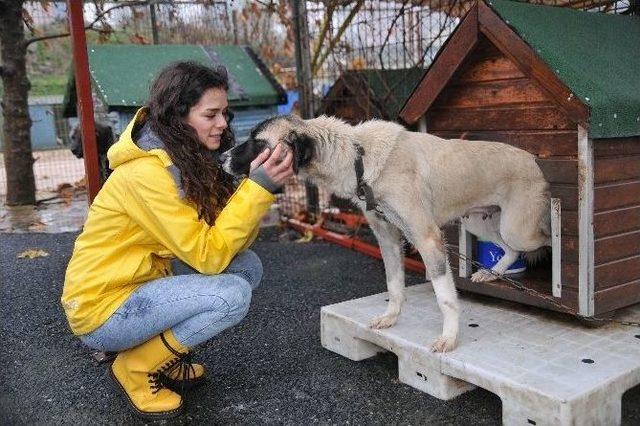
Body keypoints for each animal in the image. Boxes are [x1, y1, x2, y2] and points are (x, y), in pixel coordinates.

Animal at [219, 115, 552, 352]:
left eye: (256, 142)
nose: (220, 158)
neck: (359, 159)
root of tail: (532, 159)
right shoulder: (388, 239)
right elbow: (394, 286)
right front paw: (391, 318)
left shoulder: (427, 238)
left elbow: (445, 299)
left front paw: (449, 338)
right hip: (477, 222)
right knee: (509, 249)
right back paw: (488, 273)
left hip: (517, 228)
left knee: (543, 240)